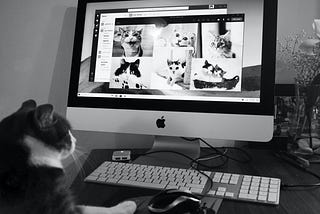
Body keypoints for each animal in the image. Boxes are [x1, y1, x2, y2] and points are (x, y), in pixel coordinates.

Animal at [0, 100, 136, 214]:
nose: (75, 140)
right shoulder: (58, 206)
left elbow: (86, 206)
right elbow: (94, 209)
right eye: (67, 132)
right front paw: (125, 206)